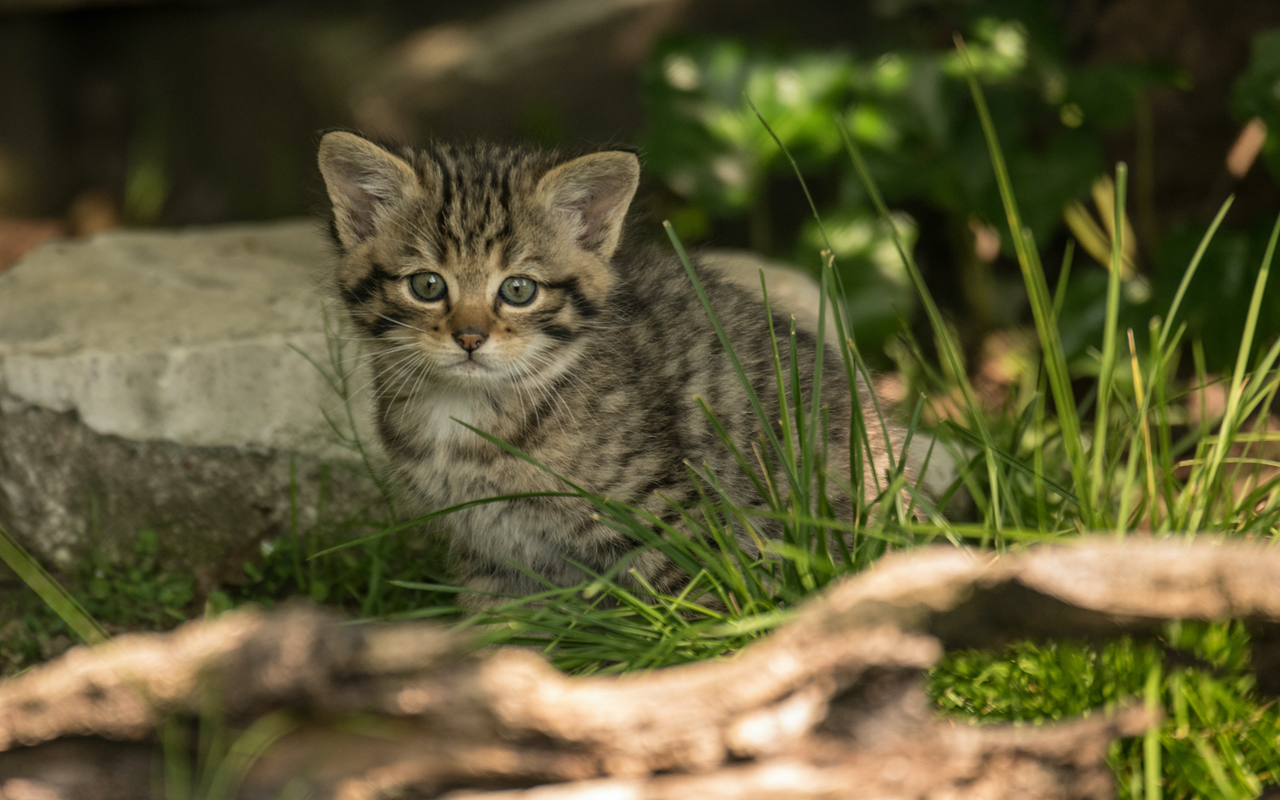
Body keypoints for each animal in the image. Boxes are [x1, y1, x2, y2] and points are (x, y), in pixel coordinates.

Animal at [320, 132, 921, 604]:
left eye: (518, 289)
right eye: (427, 284)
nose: (470, 337)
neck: (464, 417)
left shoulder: (666, 514)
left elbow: (697, 603)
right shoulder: (489, 549)